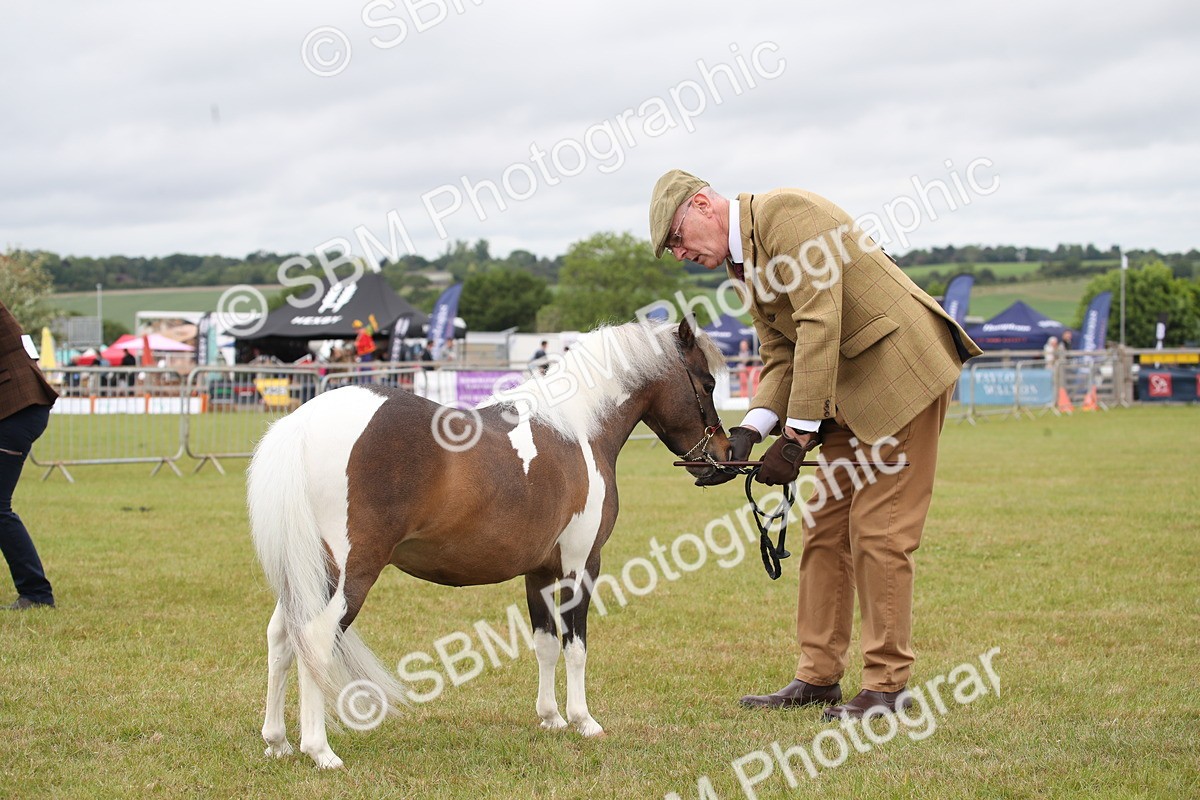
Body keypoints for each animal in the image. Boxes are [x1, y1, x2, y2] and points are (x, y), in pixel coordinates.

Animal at [247, 319, 730, 768]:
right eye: (707, 384)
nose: (724, 458)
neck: (578, 428)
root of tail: (304, 422)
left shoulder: (540, 572)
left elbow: (545, 644)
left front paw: (551, 717)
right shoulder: (582, 565)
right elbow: (576, 647)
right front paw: (584, 720)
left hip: (307, 573)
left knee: (281, 638)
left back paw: (277, 742)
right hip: (348, 575)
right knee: (315, 639)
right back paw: (320, 750)